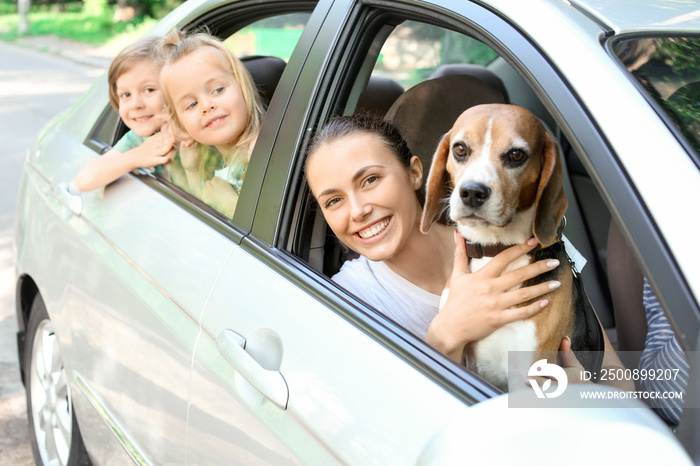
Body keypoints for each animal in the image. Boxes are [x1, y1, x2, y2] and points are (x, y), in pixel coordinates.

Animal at [418, 104, 604, 392]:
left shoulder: (526, 375)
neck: (495, 250)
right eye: (460, 149)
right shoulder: (460, 355)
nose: (472, 192)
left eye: (516, 155)